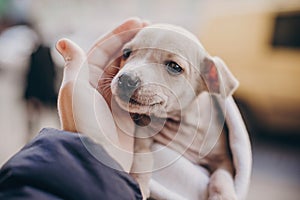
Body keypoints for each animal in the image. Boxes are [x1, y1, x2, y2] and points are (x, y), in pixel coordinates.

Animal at [109, 23, 251, 200]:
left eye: (174, 67)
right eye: (126, 53)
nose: (126, 79)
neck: (181, 124)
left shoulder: (225, 160)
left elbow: (221, 176)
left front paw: (223, 195)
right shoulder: (142, 137)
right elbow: (142, 156)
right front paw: (139, 183)